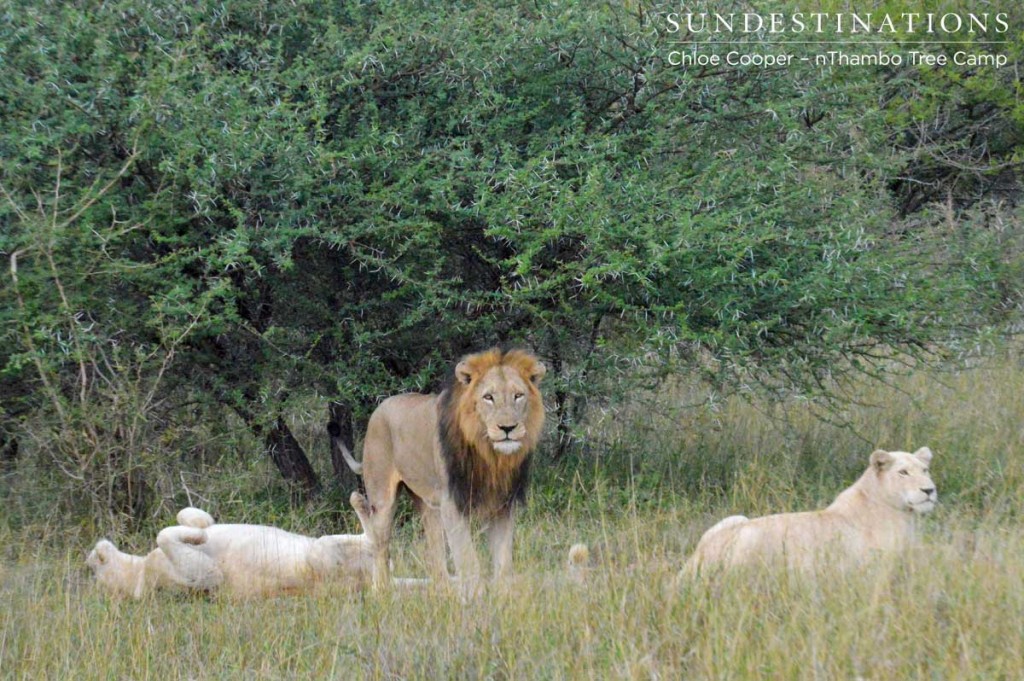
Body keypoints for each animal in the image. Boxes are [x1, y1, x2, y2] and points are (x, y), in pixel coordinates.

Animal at [335, 348, 544, 585]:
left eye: (518, 395)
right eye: (488, 397)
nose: (508, 428)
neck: (490, 457)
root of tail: (380, 407)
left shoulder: (504, 505)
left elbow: (504, 564)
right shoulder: (452, 504)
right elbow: (469, 562)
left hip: (427, 503)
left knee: (436, 558)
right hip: (382, 497)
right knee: (380, 548)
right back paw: (382, 590)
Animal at [679, 448, 937, 577]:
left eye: (925, 470)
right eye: (903, 472)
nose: (929, 490)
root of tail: (698, 556)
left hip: (735, 518)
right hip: (750, 538)